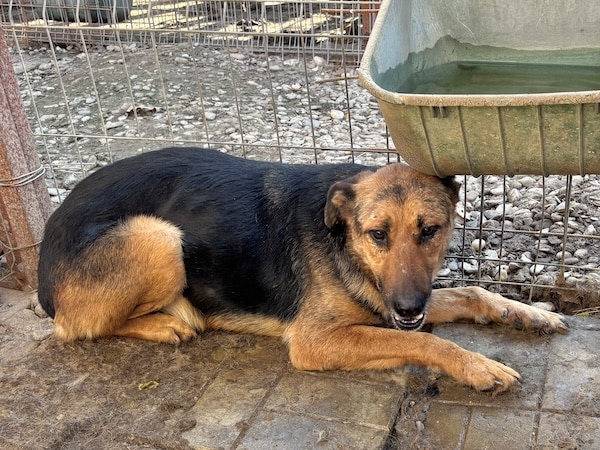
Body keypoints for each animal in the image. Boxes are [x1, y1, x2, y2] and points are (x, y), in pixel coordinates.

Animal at [38, 147, 567, 393]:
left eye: (429, 231)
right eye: (378, 235)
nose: (407, 307)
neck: (344, 242)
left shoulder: (391, 303)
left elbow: (472, 293)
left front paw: (528, 313)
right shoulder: (317, 341)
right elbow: (425, 341)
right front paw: (478, 366)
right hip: (159, 237)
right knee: (74, 327)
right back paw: (167, 323)